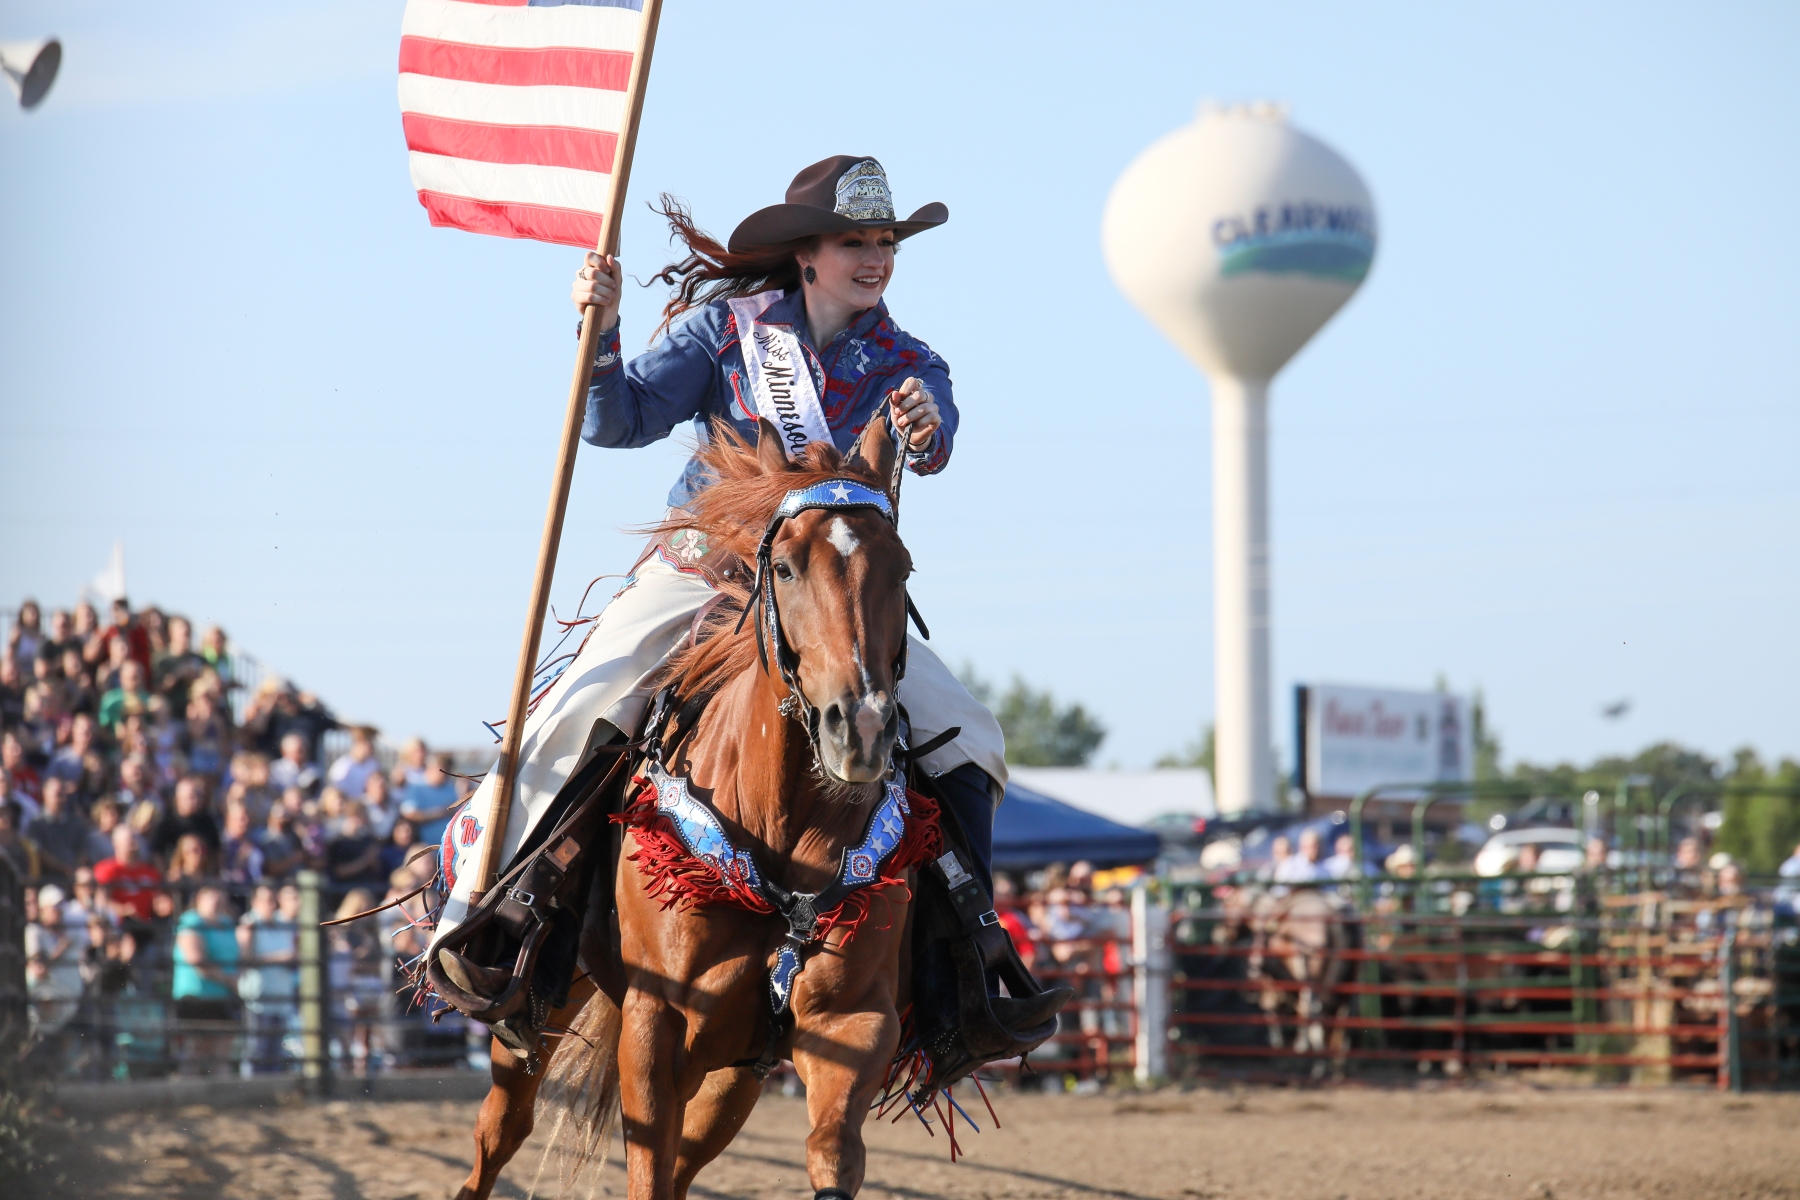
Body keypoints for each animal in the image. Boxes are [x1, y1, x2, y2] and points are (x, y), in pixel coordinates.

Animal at [450, 415, 928, 1200]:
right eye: (785, 568)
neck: (779, 829)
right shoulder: (657, 1024)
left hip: (736, 1071)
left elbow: (832, 1155)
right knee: (501, 1132)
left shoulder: (850, 1024)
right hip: (543, 1012)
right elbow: (646, 1166)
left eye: (904, 570)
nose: (858, 727)